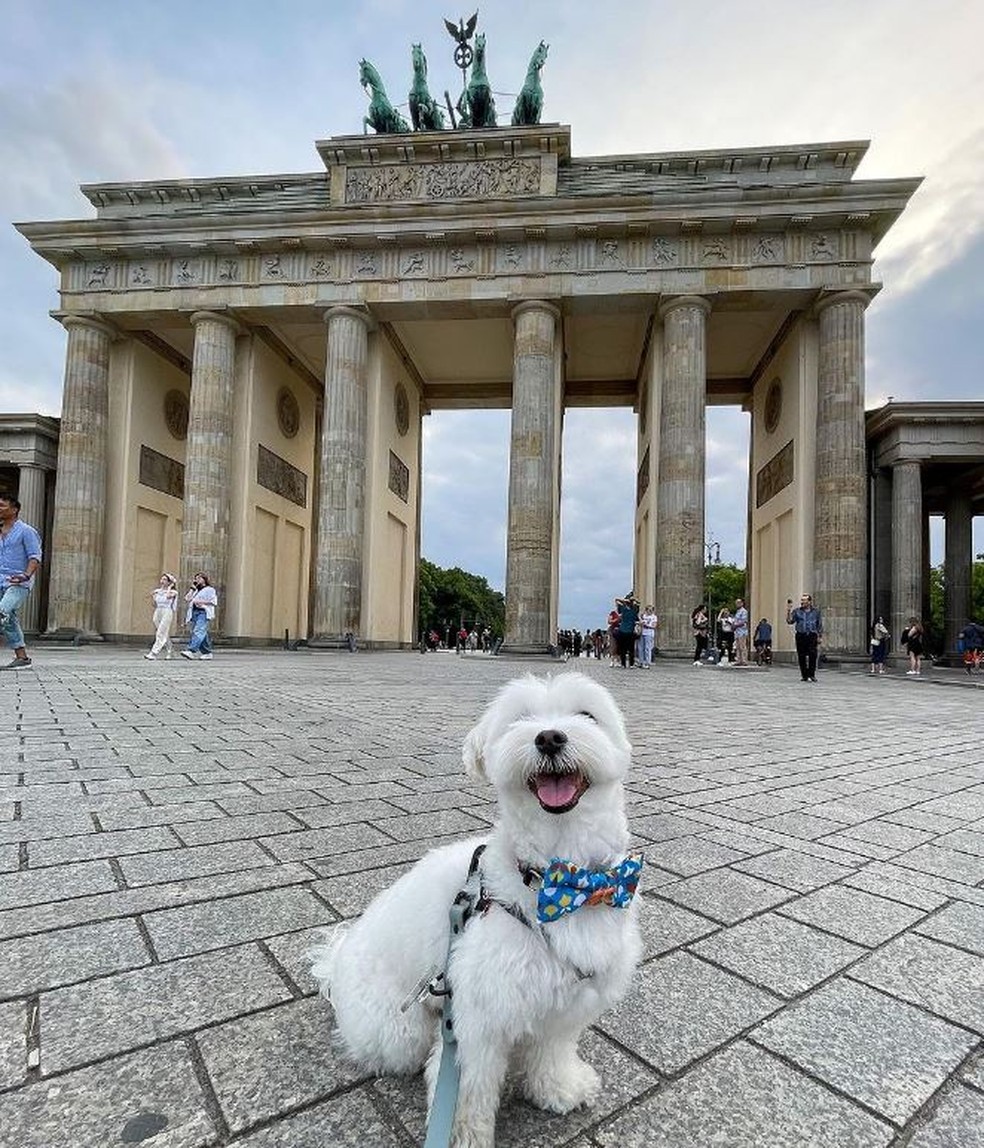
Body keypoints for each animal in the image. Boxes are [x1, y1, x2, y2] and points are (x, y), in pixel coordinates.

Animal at [310, 670, 642, 1148]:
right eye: (519, 719)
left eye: (586, 714)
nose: (549, 737)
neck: (563, 879)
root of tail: (334, 966)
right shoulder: (476, 1018)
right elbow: (469, 1086)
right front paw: (460, 1134)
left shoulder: (568, 1002)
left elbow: (552, 1051)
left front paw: (559, 1087)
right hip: (400, 1030)